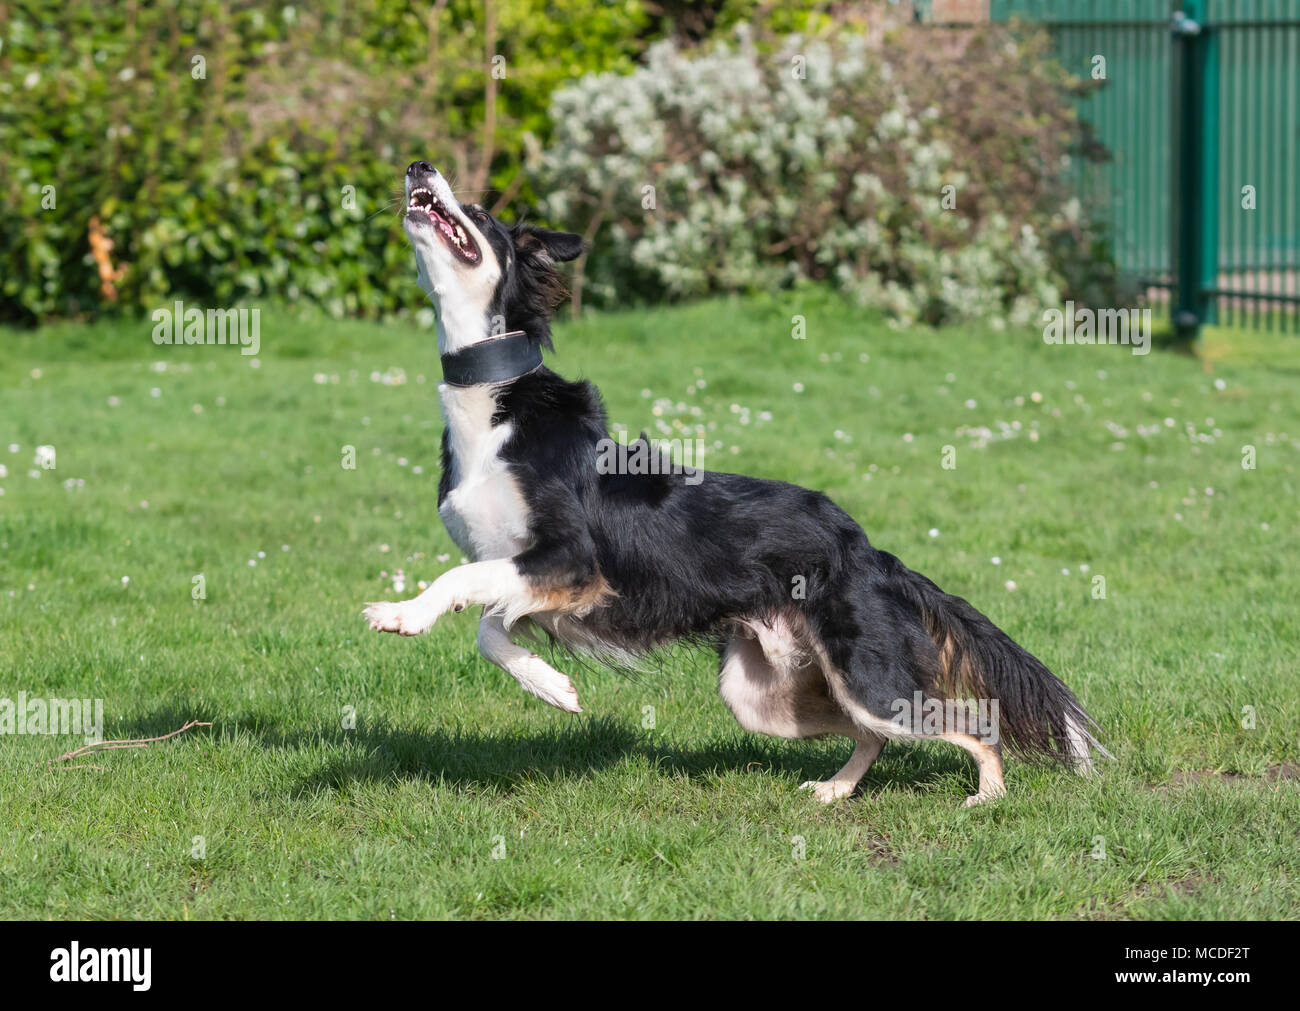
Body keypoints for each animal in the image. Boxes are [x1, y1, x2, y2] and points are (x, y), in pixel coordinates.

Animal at [364, 159, 1107, 805]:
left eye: (483, 214)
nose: (418, 166)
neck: (495, 402)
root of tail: (868, 550)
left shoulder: (572, 561)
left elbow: (461, 586)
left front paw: (403, 613)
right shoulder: (534, 576)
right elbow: (489, 630)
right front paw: (553, 687)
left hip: (865, 675)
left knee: (968, 724)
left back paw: (988, 796)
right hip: (759, 694)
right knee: (869, 732)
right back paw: (835, 789)